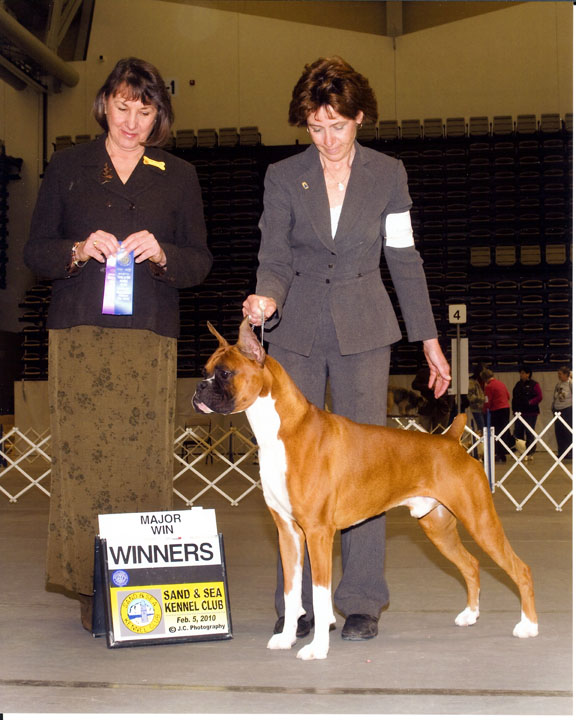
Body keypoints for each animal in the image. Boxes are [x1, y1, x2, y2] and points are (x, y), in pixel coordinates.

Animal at [191, 320, 536, 660]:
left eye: (224, 373)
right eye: (205, 369)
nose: (199, 388)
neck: (284, 429)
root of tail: (450, 441)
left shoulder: (318, 533)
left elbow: (319, 596)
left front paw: (317, 648)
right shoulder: (288, 533)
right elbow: (292, 594)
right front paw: (287, 638)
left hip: (480, 522)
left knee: (520, 568)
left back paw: (529, 626)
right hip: (438, 528)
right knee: (471, 564)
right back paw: (470, 615)